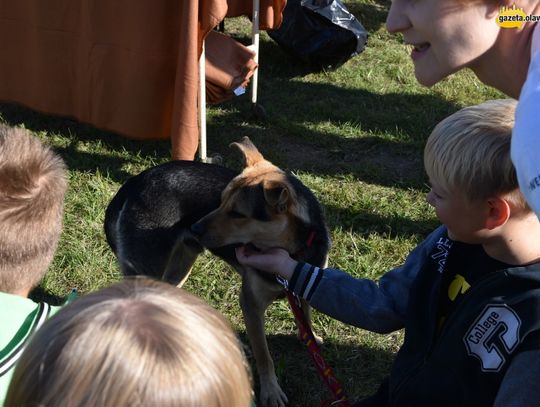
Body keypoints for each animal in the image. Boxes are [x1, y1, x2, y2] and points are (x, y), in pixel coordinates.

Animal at [102, 138, 330, 407]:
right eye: (220, 201)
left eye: (238, 214)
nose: (194, 227)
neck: (293, 252)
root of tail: (132, 184)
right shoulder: (251, 304)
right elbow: (264, 354)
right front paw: (271, 390)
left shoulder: (306, 284)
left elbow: (306, 314)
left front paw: (310, 337)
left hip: (182, 264)